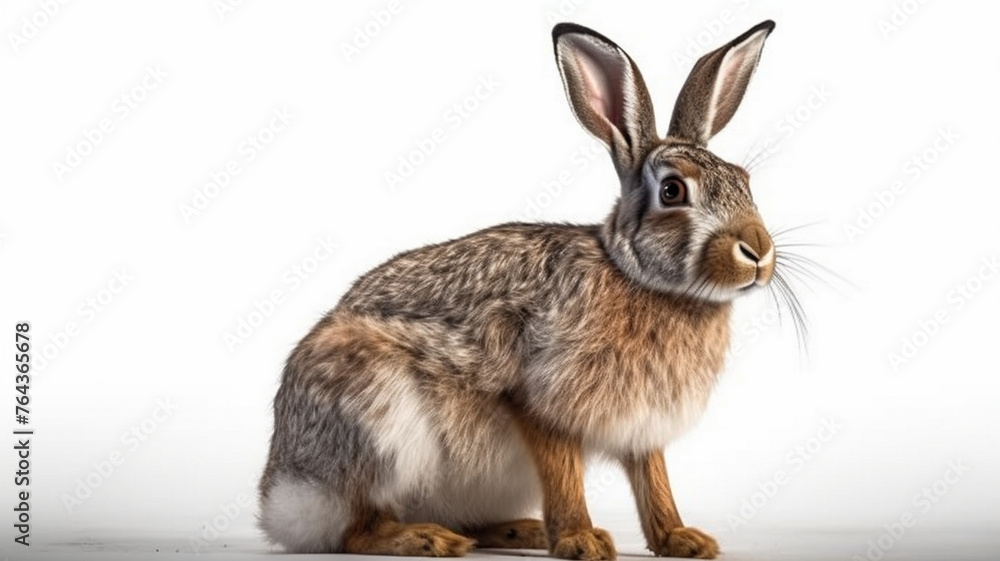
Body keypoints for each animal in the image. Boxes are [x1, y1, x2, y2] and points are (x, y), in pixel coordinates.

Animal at [259, 20, 777, 560]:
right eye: (673, 191)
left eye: (744, 181)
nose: (758, 251)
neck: (638, 277)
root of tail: (283, 496)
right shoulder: (537, 396)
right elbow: (563, 471)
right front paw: (581, 541)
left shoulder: (641, 427)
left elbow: (653, 479)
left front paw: (683, 539)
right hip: (380, 422)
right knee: (356, 529)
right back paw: (426, 538)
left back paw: (517, 531)